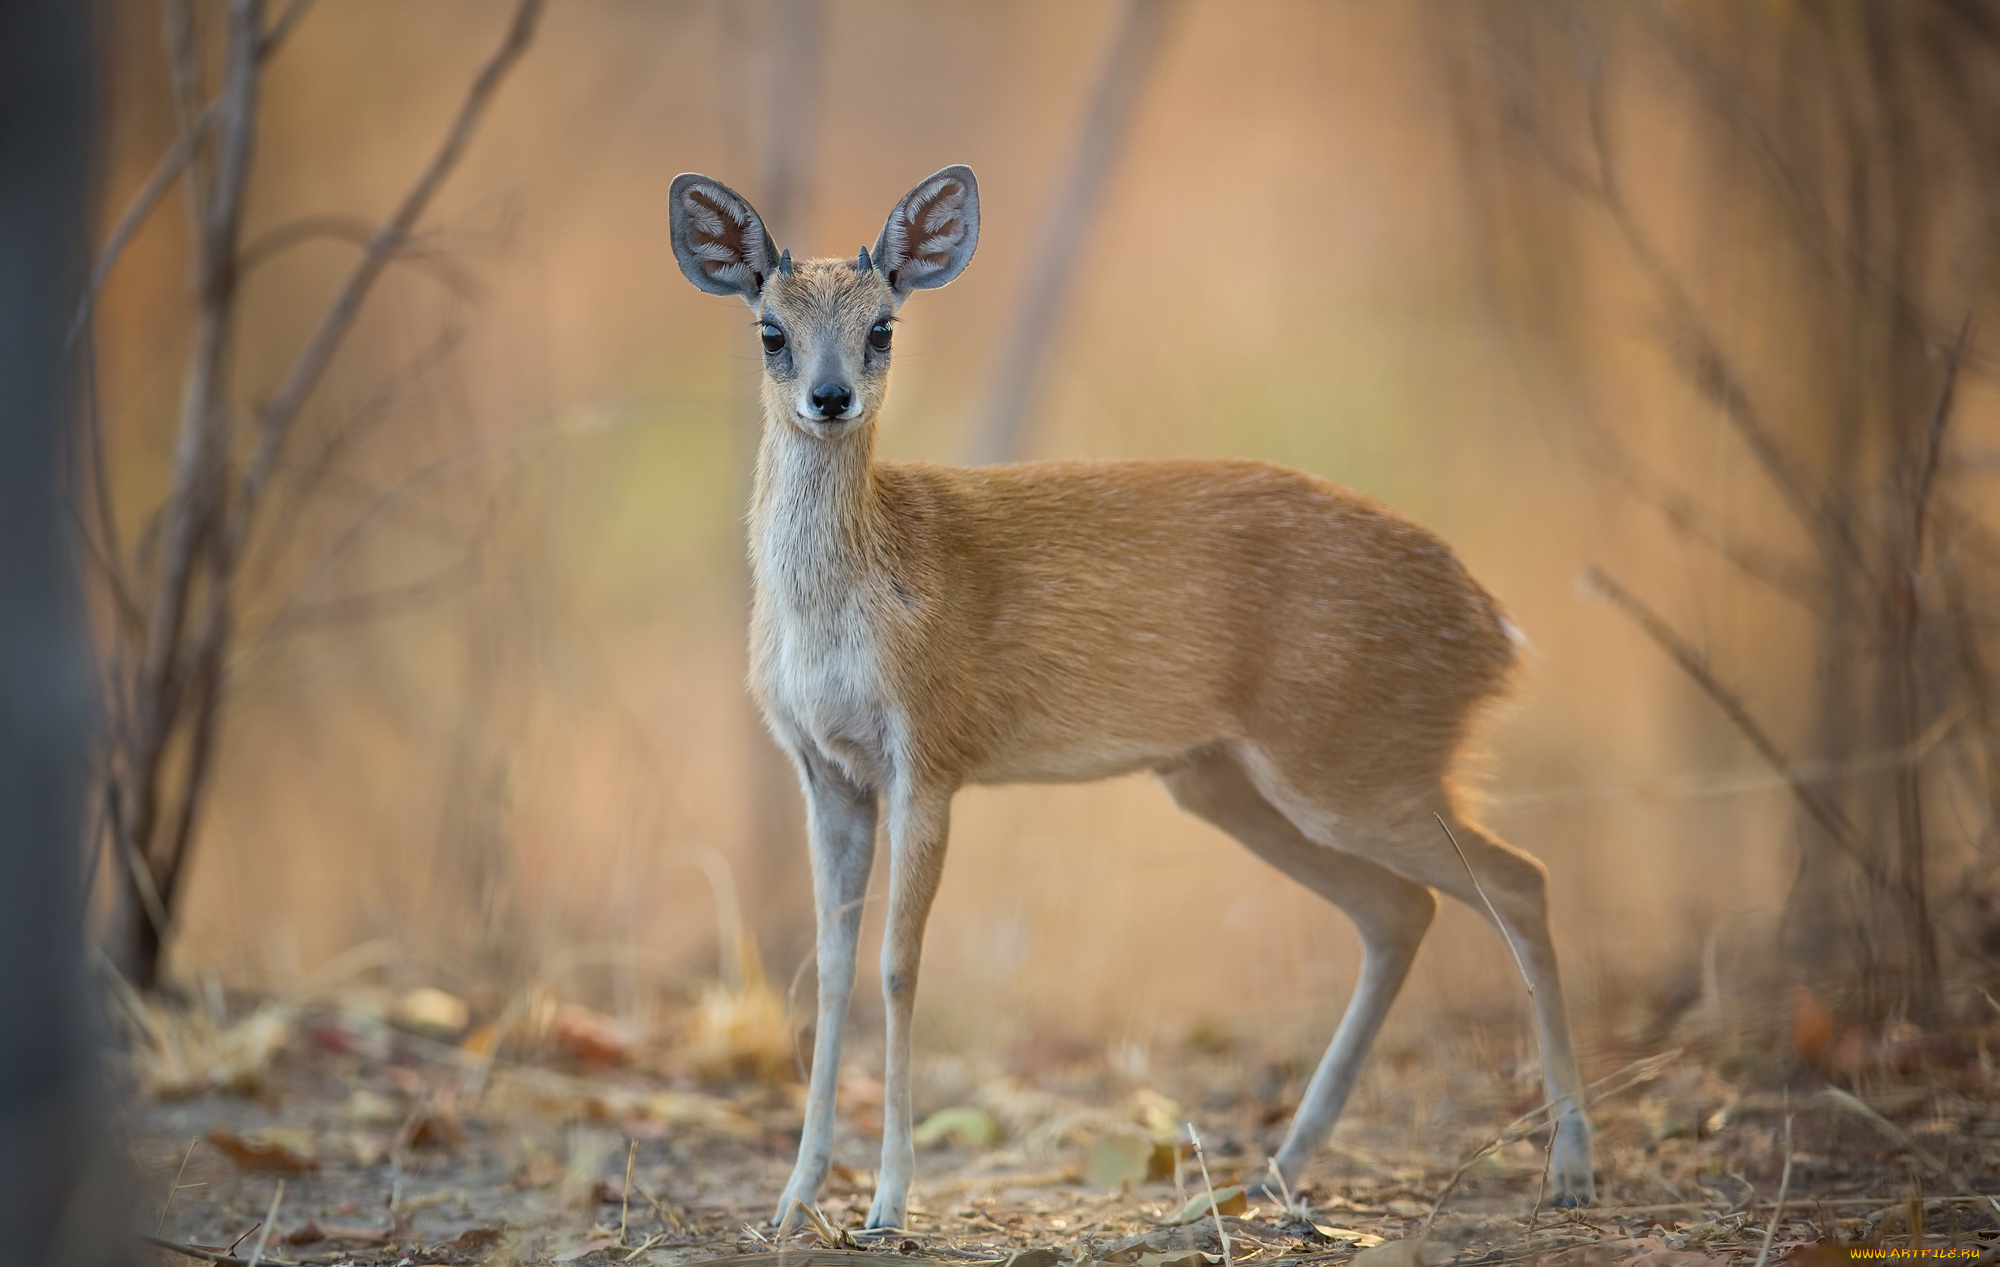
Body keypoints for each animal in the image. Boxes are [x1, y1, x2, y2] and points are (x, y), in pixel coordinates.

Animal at [668, 164, 1592, 1223]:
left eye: (884, 327)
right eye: (769, 330)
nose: (831, 396)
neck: (848, 603)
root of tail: (1496, 630)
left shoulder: (931, 752)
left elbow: (900, 967)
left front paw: (890, 1201)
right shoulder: (825, 768)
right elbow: (828, 970)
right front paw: (794, 1198)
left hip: (1351, 759)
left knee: (1520, 880)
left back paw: (1572, 1165)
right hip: (1229, 779)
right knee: (1401, 910)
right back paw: (1278, 1166)